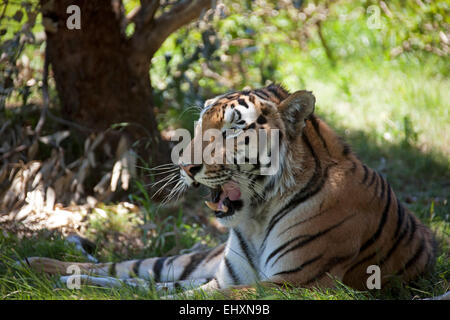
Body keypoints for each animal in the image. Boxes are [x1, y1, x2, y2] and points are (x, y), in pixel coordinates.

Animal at [22, 83, 438, 298]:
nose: (184, 166)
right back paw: (38, 265)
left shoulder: (294, 285)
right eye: (200, 123)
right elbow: (157, 289)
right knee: (127, 269)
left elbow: (168, 296)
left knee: (135, 280)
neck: (256, 218)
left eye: (233, 130)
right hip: (186, 262)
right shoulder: (226, 278)